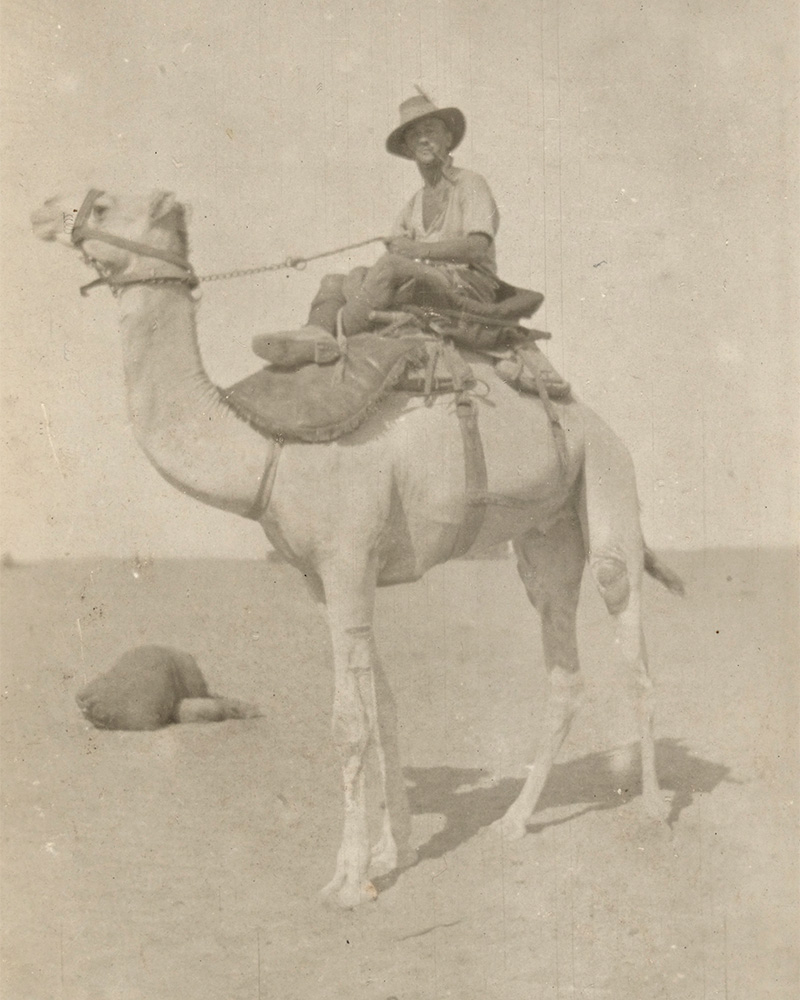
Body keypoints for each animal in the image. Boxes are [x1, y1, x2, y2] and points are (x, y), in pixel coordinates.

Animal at [31, 189, 680, 916]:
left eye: (102, 203)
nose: (44, 211)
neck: (265, 445)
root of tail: (597, 419)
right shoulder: (326, 575)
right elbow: (381, 709)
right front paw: (390, 853)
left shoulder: (347, 558)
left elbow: (348, 720)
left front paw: (346, 881)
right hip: (543, 535)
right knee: (562, 663)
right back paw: (515, 820)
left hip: (609, 477)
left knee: (629, 632)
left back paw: (654, 808)